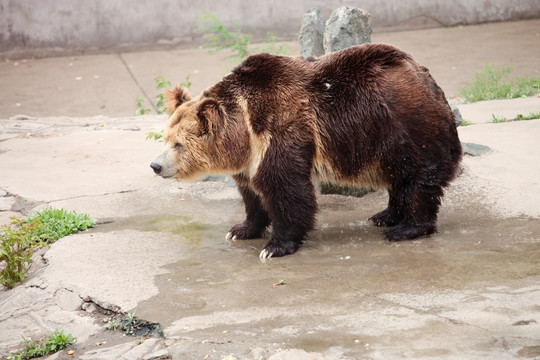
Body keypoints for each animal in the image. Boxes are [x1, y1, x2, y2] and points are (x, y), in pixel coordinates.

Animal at [150, 43, 462, 258]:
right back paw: (385, 215)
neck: (246, 131)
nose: (155, 165)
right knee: (399, 175)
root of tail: (425, 76)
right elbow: (252, 193)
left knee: (418, 175)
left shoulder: (281, 130)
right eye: (165, 138)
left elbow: (286, 189)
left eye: (179, 144)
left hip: (403, 123)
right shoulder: (250, 158)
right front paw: (241, 229)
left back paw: (405, 228)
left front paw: (275, 246)